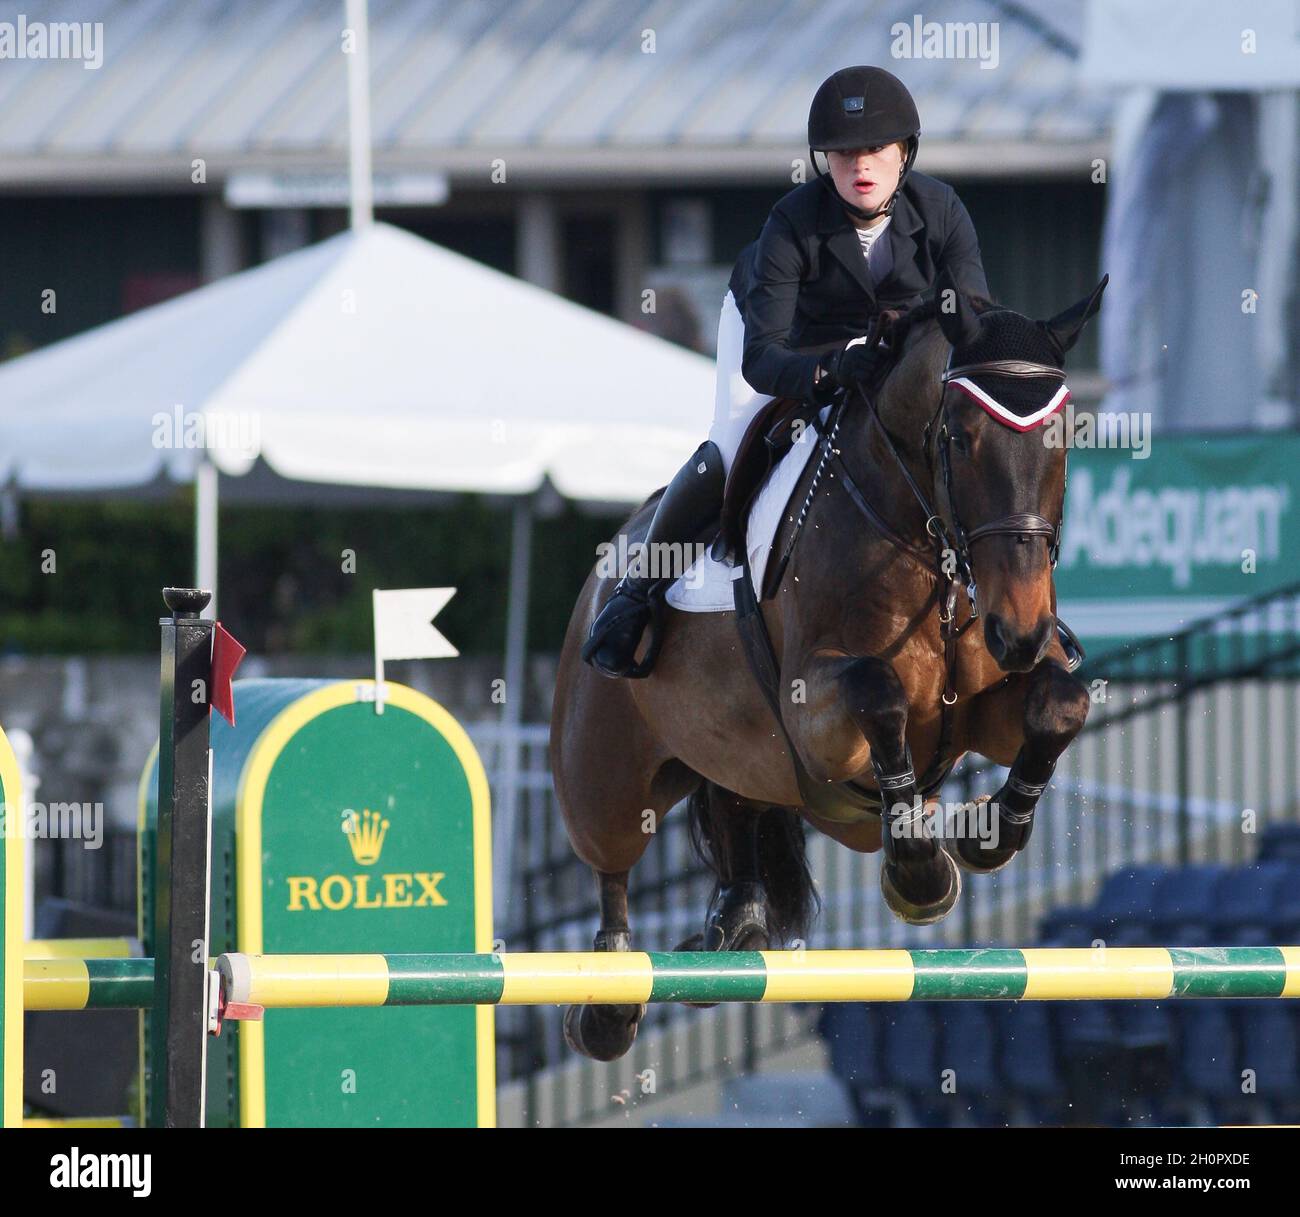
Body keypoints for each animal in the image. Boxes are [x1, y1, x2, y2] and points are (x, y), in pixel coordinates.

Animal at [548, 270, 1107, 1060]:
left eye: (1063, 442)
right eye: (959, 439)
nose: (1021, 631)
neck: (926, 543)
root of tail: (609, 560)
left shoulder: (985, 709)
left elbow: (1060, 704)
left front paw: (989, 831)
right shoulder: (815, 710)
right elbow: (880, 693)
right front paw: (920, 872)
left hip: (738, 756)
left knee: (737, 802)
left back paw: (735, 928)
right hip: (607, 776)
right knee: (612, 863)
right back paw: (610, 1002)